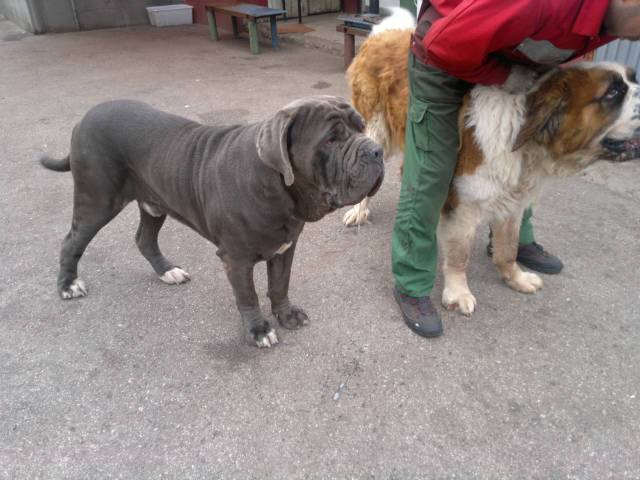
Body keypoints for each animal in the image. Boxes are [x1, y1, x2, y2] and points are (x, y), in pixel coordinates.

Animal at [41, 96, 384, 347]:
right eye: (331, 141)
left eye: (361, 127)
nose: (376, 150)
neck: (277, 186)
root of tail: (84, 119)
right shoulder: (236, 258)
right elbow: (248, 295)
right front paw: (259, 330)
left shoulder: (285, 248)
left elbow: (279, 285)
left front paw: (286, 315)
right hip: (97, 201)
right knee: (71, 242)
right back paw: (68, 285)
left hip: (154, 204)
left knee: (144, 238)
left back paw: (168, 272)